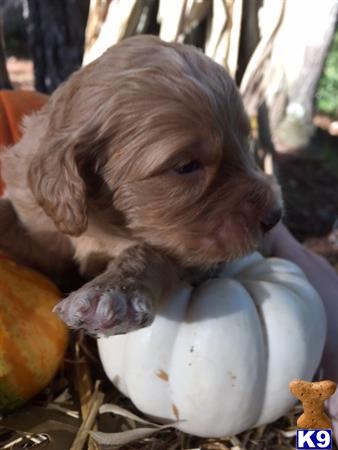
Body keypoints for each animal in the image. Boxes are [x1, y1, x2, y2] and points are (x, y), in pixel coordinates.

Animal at [0, 35, 282, 336]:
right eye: (186, 166)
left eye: (245, 141)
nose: (275, 216)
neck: (100, 222)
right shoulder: (39, 224)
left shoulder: (191, 255)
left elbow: (151, 251)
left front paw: (113, 292)